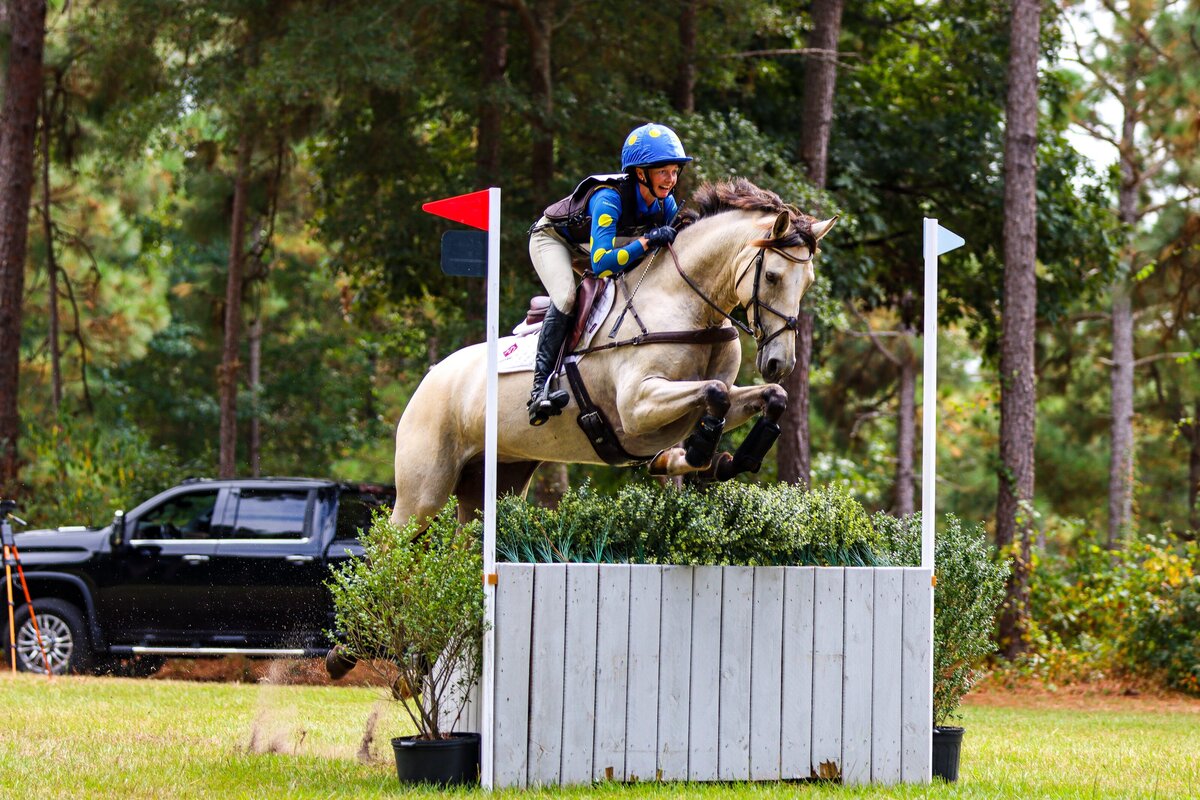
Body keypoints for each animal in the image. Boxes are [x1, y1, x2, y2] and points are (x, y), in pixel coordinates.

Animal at [390, 178, 836, 526]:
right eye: (773, 276)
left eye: (809, 282)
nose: (780, 363)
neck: (687, 304)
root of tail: (433, 375)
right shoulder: (636, 405)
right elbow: (716, 393)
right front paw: (699, 454)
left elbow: (764, 397)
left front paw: (724, 460)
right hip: (421, 494)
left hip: (497, 481)